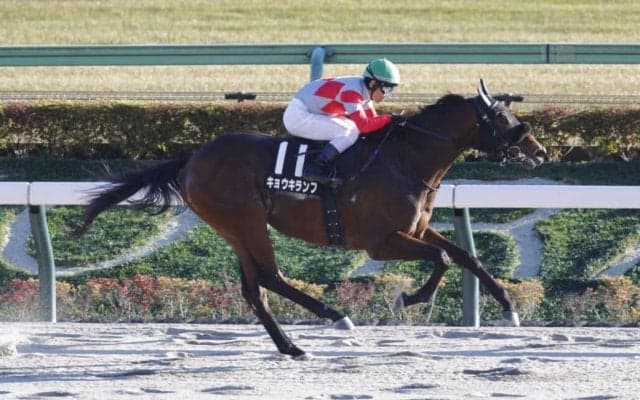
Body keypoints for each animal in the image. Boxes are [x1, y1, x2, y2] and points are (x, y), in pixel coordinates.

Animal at [76, 80, 547, 358]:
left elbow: (466, 256)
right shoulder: (381, 241)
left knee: (255, 288)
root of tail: (192, 158)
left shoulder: (414, 228)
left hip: (235, 230)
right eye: (500, 116)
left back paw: (291, 346)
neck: (405, 159)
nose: (539, 151)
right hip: (246, 222)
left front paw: (509, 309)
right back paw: (334, 316)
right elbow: (444, 259)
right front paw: (408, 299)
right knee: (270, 277)